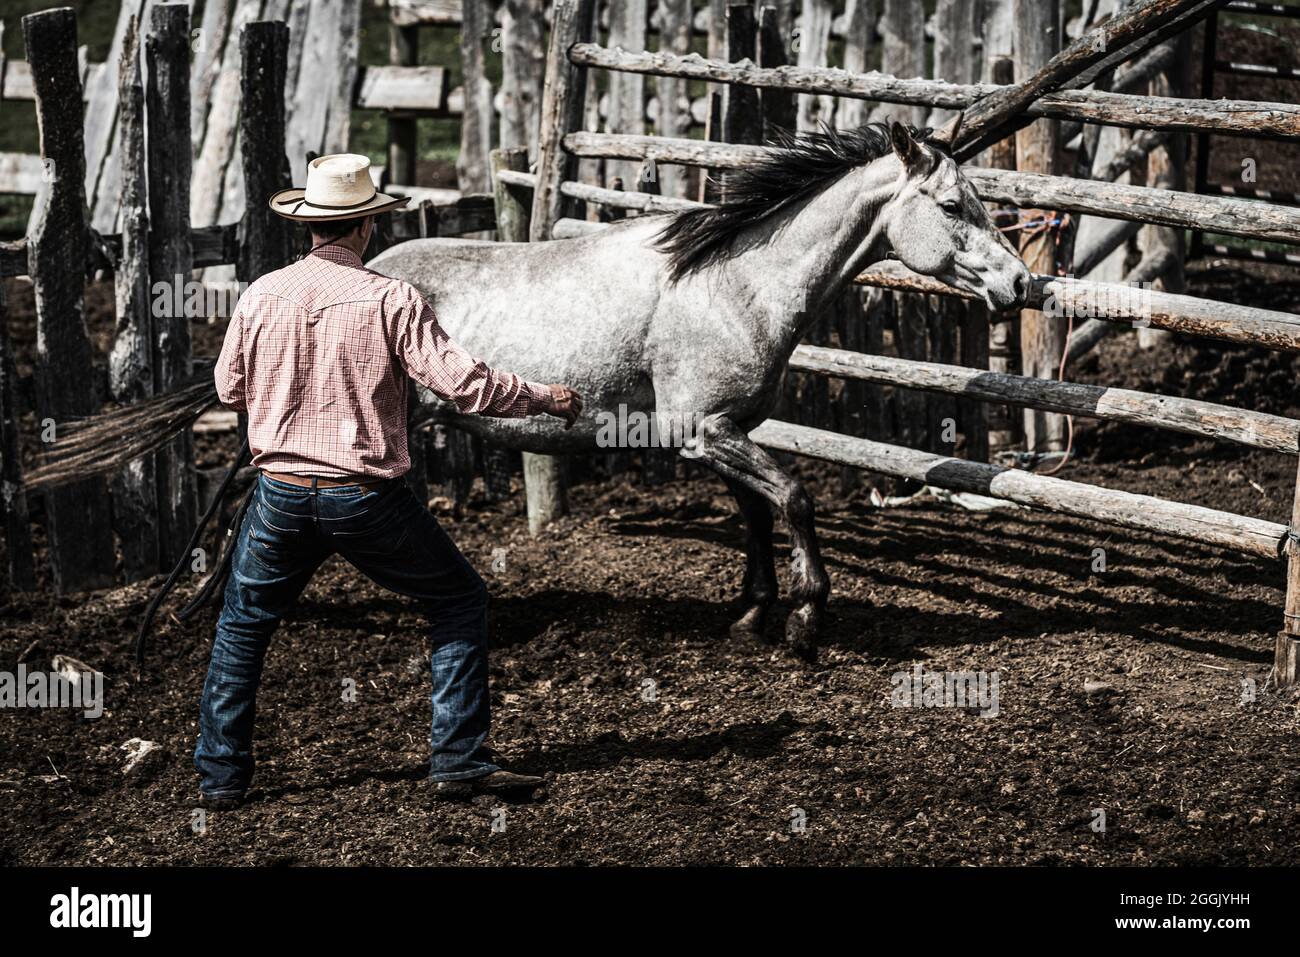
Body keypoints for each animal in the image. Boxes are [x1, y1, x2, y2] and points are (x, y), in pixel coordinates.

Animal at [369, 123, 1024, 660]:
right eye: (952, 204)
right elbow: (794, 499)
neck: (735, 287)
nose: (1019, 282)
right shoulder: (700, 431)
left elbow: (757, 513)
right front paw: (805, 619)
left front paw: (753, 616)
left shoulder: (731, 429)